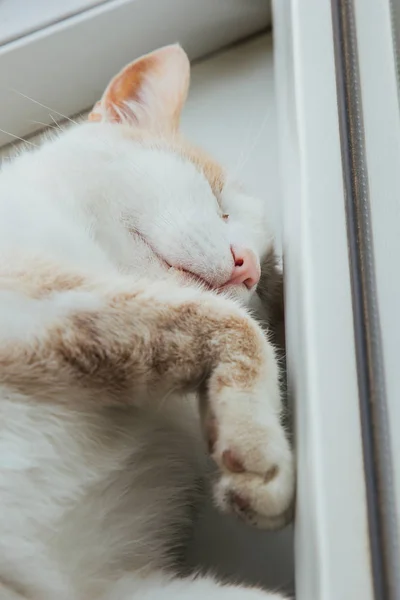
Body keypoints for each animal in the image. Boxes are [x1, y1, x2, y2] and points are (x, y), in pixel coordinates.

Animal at [0, 44, 294, 596]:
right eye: (218, 201)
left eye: (266, 287)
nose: (248, 266)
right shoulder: (27, 295)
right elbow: (235, 327)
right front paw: (262, 441)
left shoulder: (110, 585)